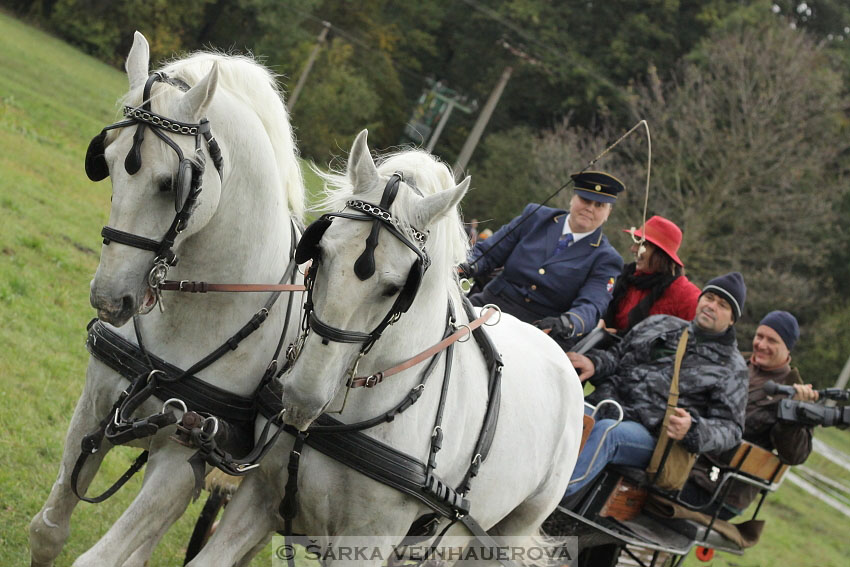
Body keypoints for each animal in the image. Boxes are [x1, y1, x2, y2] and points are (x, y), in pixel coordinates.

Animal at [28, 32, 304, 567]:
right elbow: (48, 531)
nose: (109, 299)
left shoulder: (184, 458)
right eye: (107, 163)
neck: (205, 310)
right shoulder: (97, 406)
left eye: (168, 183)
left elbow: (98, 559)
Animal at [185, 131, 584, 564]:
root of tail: (556, 349)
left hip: (507, 533)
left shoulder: (366, 544)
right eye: (318, 251)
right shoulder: (260, 497)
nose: (302, 399)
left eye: (395, 288)